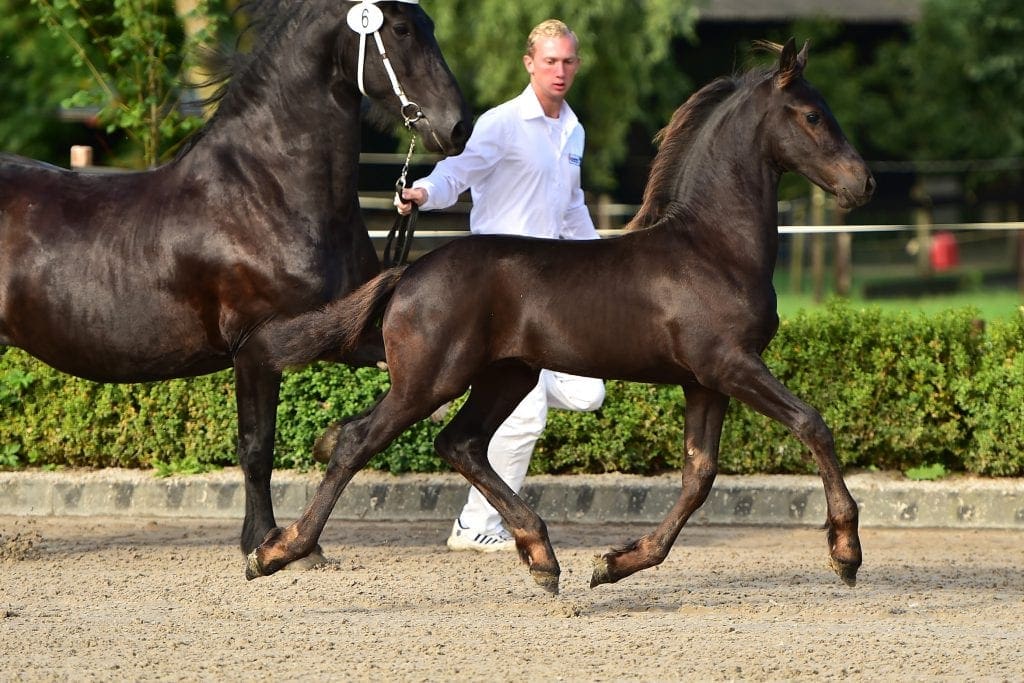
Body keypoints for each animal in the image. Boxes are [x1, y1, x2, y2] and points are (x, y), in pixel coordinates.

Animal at [0, 0, 470, 564]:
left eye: (431, 26)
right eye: (400, 29)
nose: (457, 127)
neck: (265, 194)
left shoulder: (340, 332)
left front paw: (327, 443)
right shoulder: (258, 347)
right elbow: (256, 448)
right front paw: (267, 541)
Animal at [246, 38, 874, 593]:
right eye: (813, 115)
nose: (862, 183)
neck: (712, 248)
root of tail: (409, 272)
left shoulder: (705, 381)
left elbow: (699, 476)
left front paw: (615, 563)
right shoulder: (731, 365)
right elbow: (812, 423)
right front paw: (845, 551)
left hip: (508, 375)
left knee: (460, 443)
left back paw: (542, 556)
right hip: (429, 380)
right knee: (358, 442)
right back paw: (276, 551)